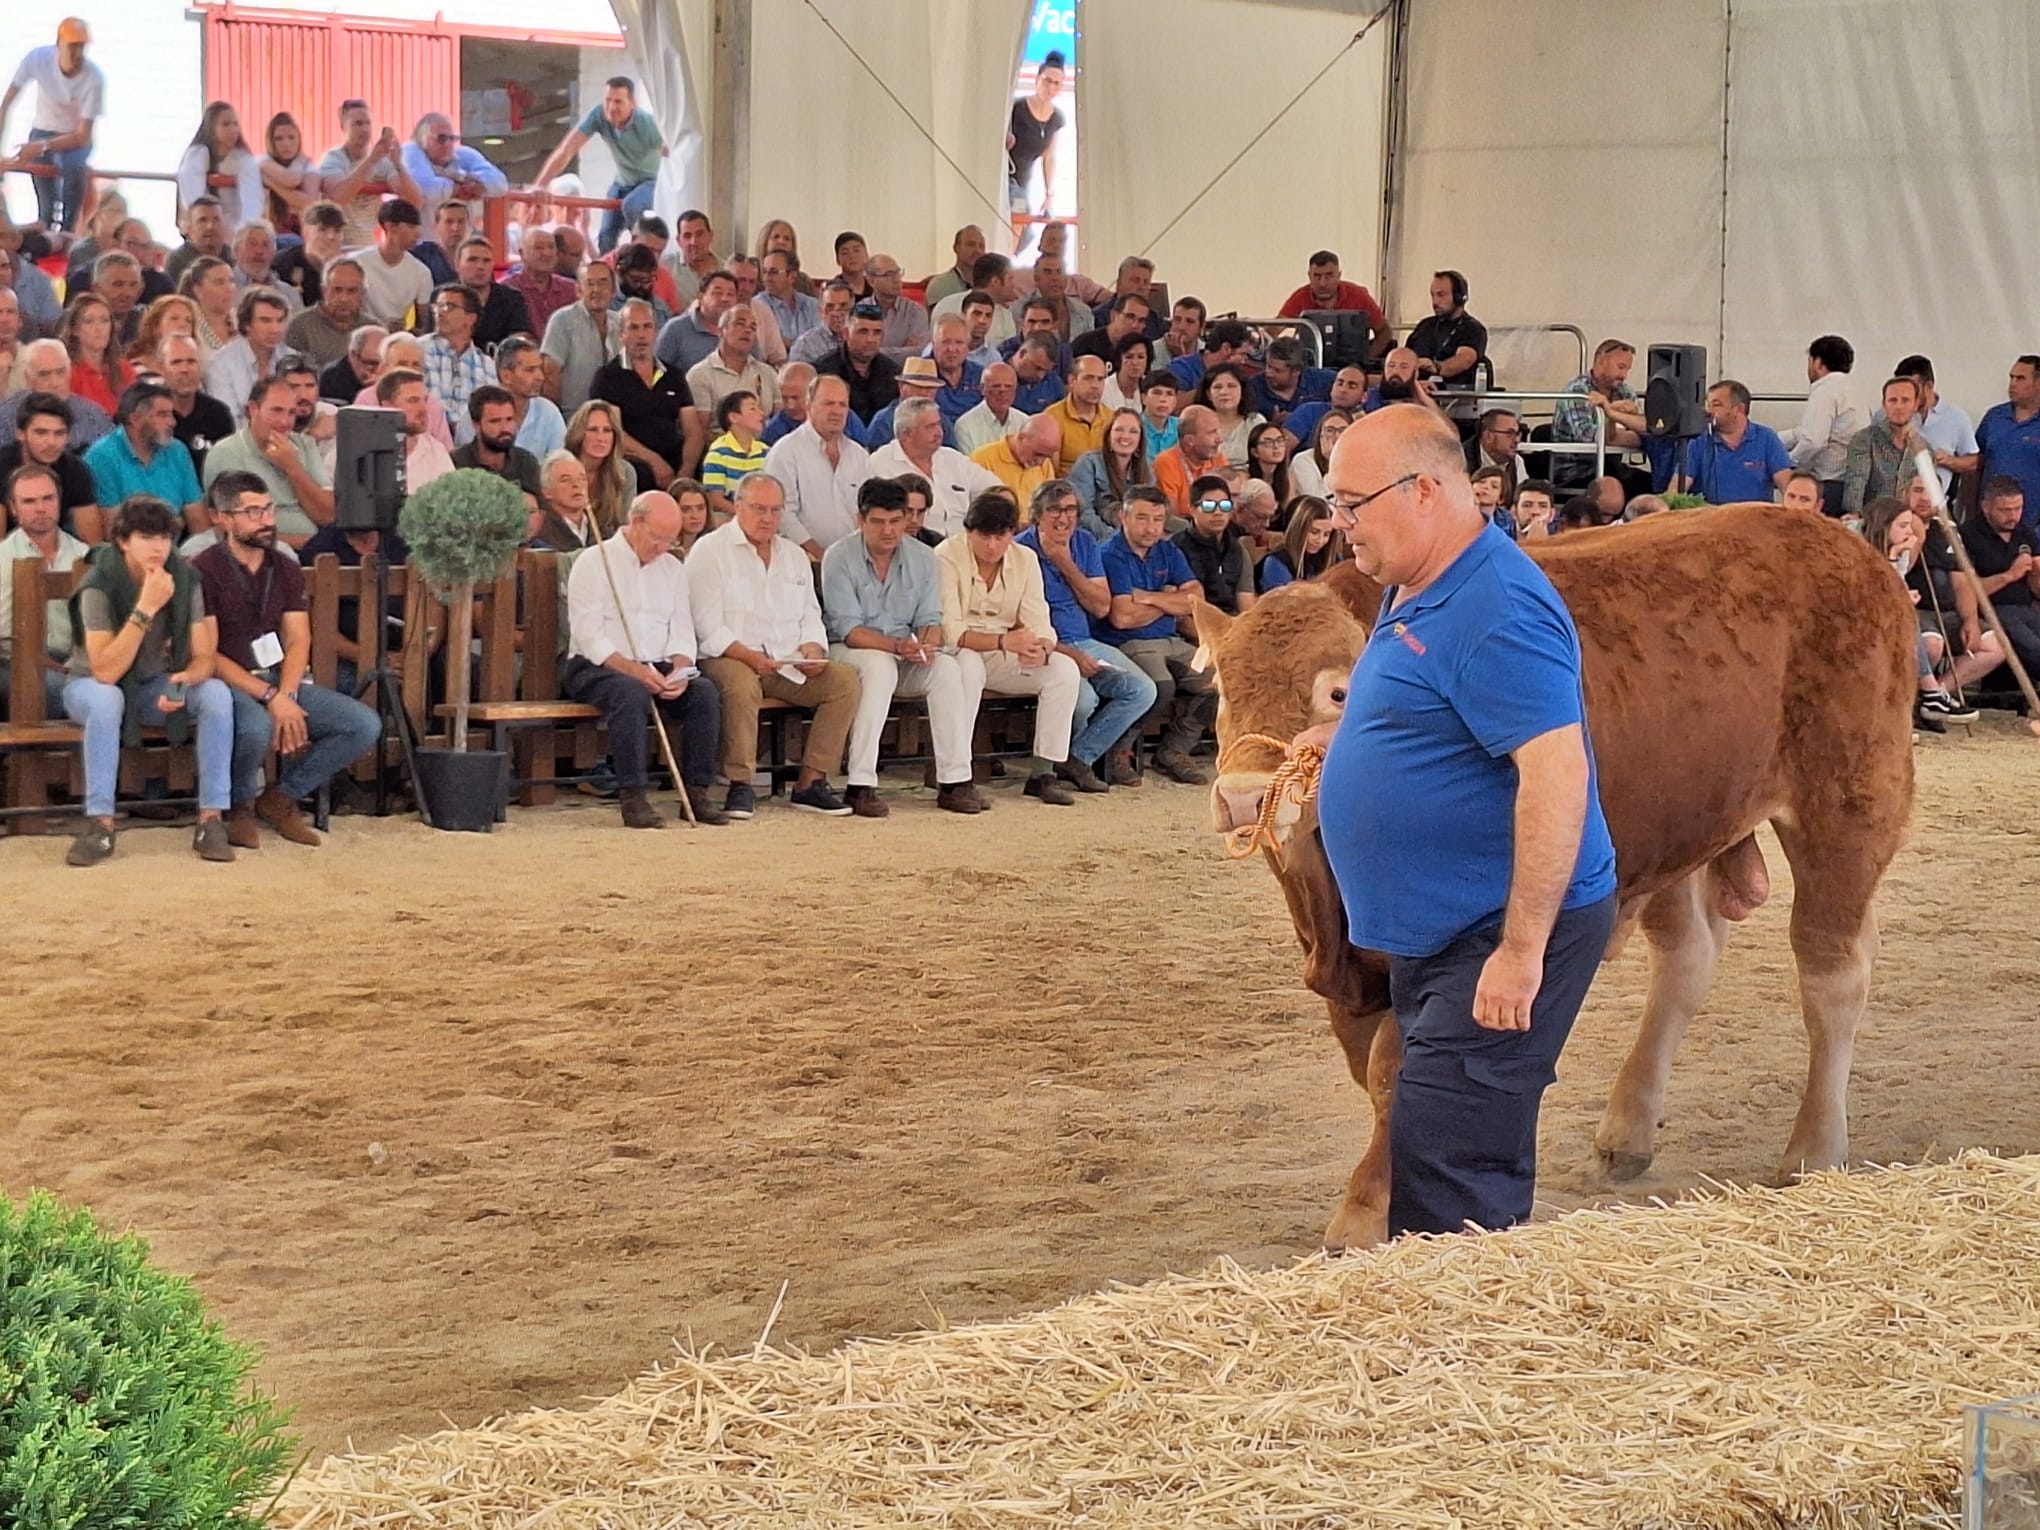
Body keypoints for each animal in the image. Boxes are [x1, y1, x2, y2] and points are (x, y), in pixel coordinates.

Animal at [1191, 510, 1909, 1248]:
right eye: (1221, 692)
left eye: (1338, 691)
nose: (1244, 797)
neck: (1333, 902)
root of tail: (1843, 543)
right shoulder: (1347, 971)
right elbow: (1370, 1066)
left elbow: (1397, 1068)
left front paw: (1363, 1215)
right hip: (1678, 823)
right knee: (1687, 956)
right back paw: (1628, 1132)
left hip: (1852, 797)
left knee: (1832, 970)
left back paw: (1814, 1149)